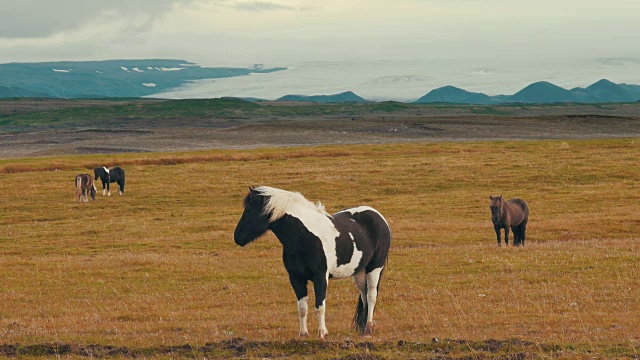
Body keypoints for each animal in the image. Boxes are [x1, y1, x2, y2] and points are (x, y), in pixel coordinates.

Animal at [234, 187, 390, 338]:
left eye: (248, 210)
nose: (237, 237)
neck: (304, 237)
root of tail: (379, 217)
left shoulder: (320, 277)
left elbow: (320, 307)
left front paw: (322, 333)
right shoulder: (296, 278)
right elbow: (302, 308)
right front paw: (303, 334)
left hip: (375, 268)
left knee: (371, 296)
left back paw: (368, 330)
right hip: (359, 271)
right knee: (364, 297)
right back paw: (362, 329)